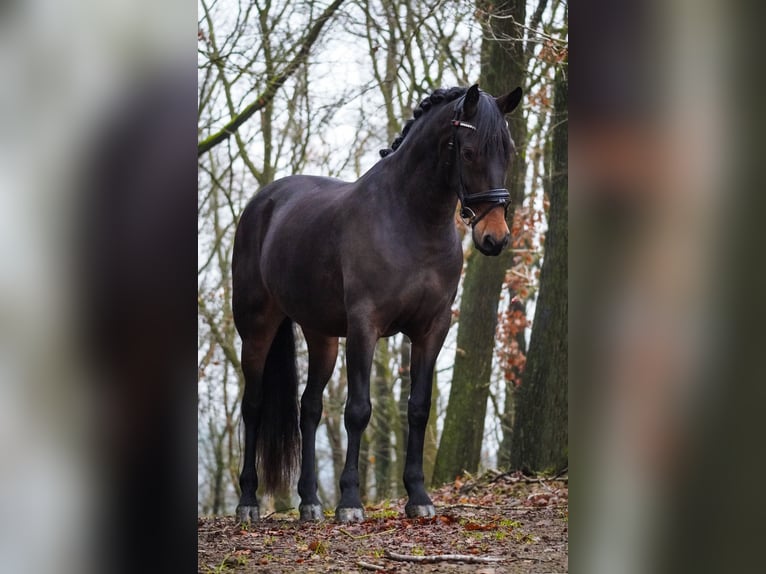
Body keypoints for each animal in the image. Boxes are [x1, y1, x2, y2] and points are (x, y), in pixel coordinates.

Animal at [232, 83, 520, 524]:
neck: (410, 221)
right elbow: (358, 409)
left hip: (321, 336)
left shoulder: (432, 328)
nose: (495, 237)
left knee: (309, 409)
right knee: (254, 405)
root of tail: (261, 203)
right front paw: (350, 502)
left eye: (509, 151)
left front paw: (418, 497)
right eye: (469, 151)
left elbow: (418, 408)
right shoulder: (365, 327)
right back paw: (248, 501)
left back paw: (310, 502)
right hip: (257, 328)